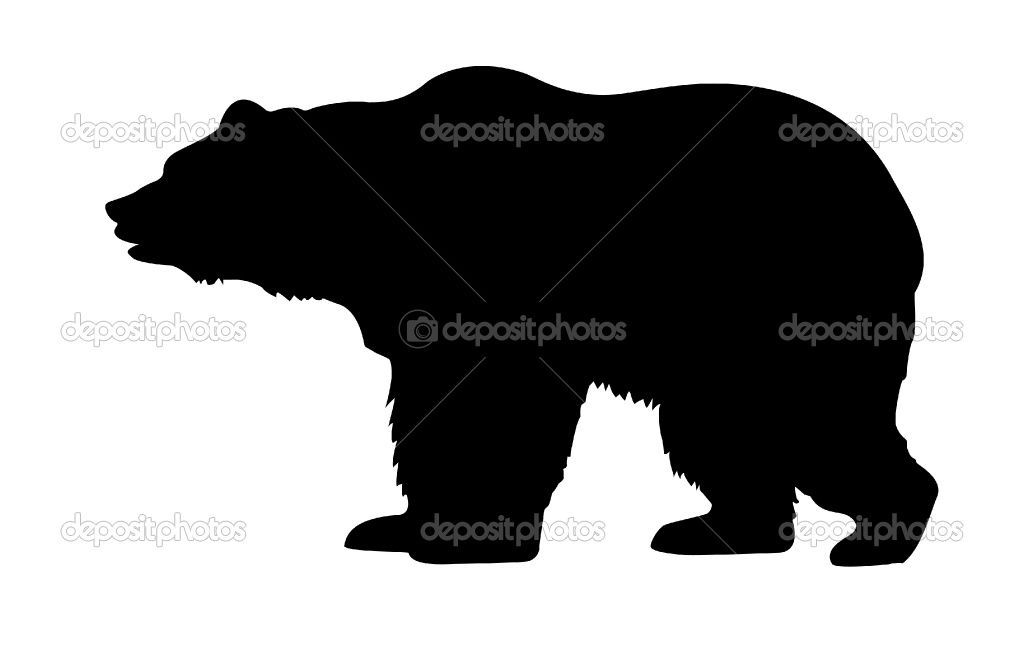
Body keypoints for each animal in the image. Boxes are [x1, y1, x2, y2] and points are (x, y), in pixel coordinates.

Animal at [106, 66, 938, 566]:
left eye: (181, 171)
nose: (119, 207)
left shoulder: (497, 277)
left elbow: (494, 403)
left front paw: (466, 535)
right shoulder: (411, 306)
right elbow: (426, 402)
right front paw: (395, 524)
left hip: (788, 294)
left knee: (820, 414)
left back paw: (876, 537)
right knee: (725, 426)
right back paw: (713, 530)